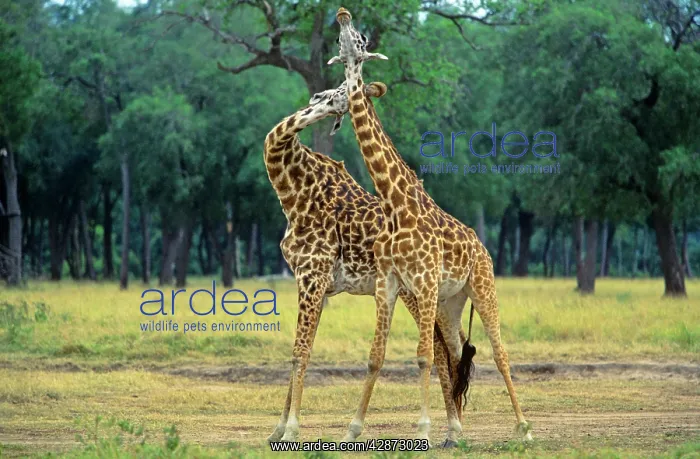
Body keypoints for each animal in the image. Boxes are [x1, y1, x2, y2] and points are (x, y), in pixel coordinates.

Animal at [262, 81, 461, 444]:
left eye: (341, 91)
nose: (317, 99)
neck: (292, 192)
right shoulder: (313, 282)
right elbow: (302, 351)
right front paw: (278, 429)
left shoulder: (312, 275)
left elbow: (299, 353)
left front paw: (291, 429)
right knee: (445, 345)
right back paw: (452, 428)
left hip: (414, 290)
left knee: (438, 348)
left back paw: (452, 429)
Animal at [330, 7, 533, 446]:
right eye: (342, 38)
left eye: (361, 38)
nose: (342, 13)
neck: (394, 202)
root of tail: (481, 246)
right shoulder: (388, 283)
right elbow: (376, 357)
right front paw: (353, 428)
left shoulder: (421, 281)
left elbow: (423, 356)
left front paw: (422, 426)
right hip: (450, 303)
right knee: (456, 353)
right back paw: (457, 431)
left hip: (481, 286)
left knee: (499, 351)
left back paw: (523, 428)